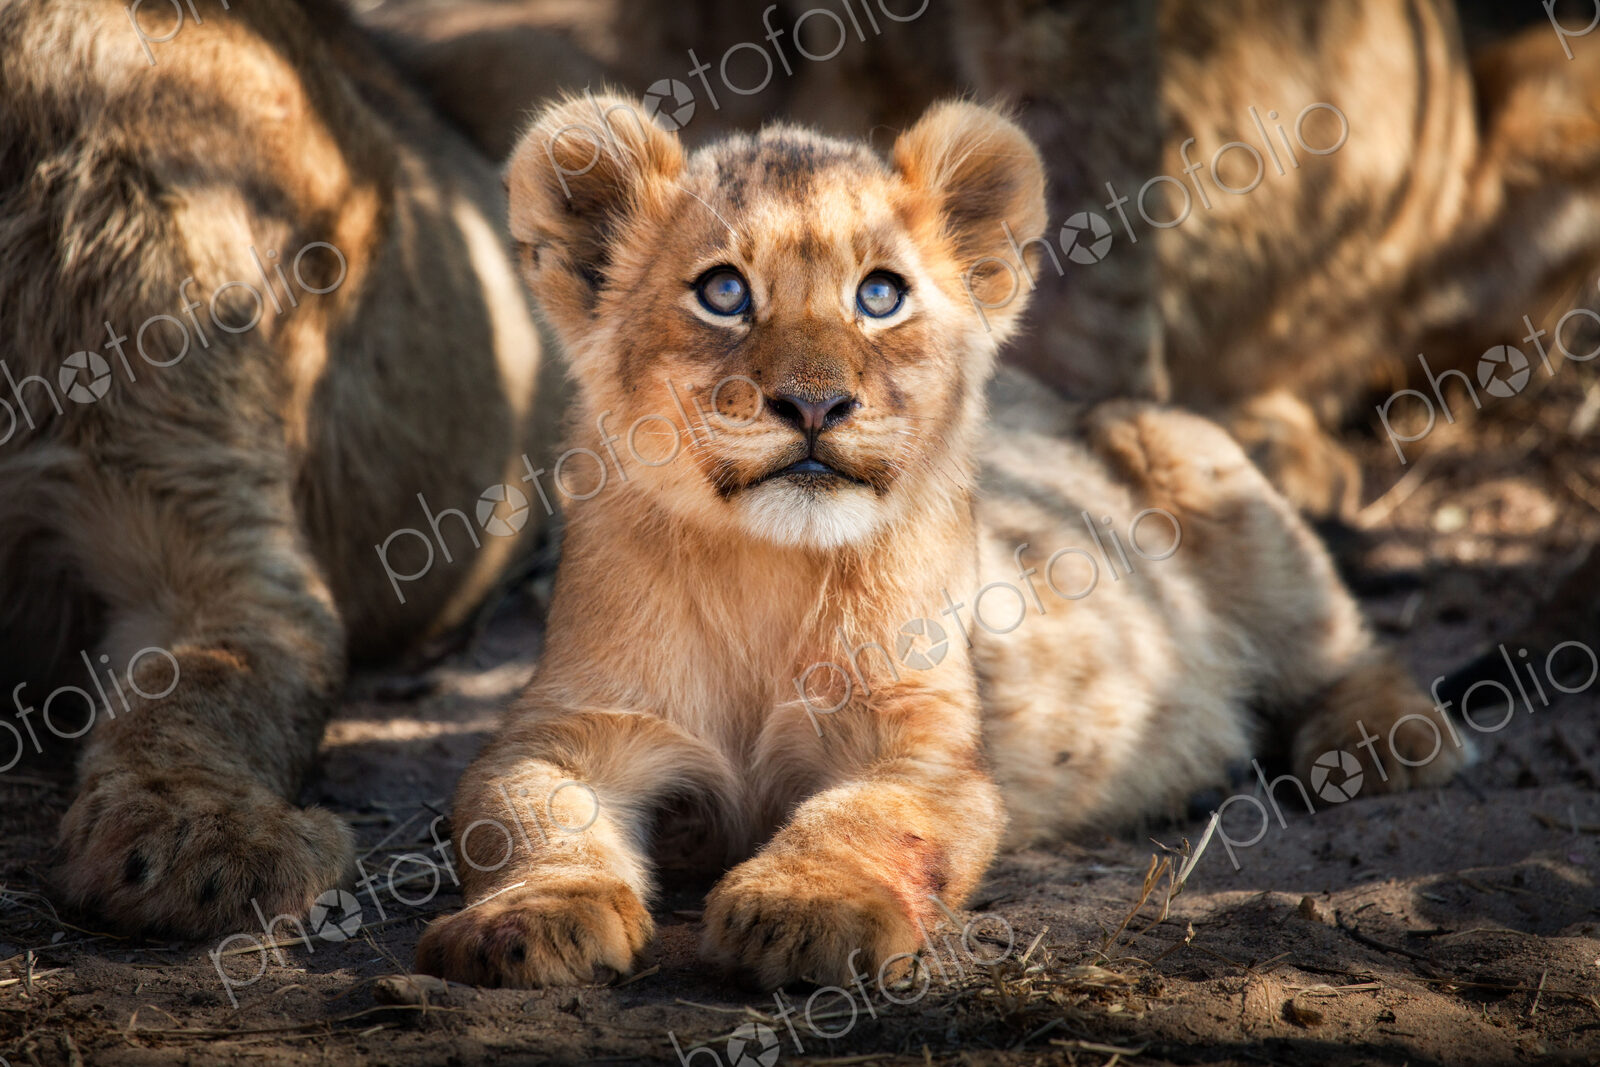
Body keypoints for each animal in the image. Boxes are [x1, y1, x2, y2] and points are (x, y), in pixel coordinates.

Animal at [413, 94, 1468, 990]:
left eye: (881, 295)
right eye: (722, 291)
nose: (815, 404)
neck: (764, 574)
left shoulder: (927, 743)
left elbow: (865, 817)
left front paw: (807, 909)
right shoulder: (568, 726)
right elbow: (520, 817)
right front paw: (531, 920)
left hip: (1201, 465)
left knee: (1341, 644)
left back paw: (1381, 743)